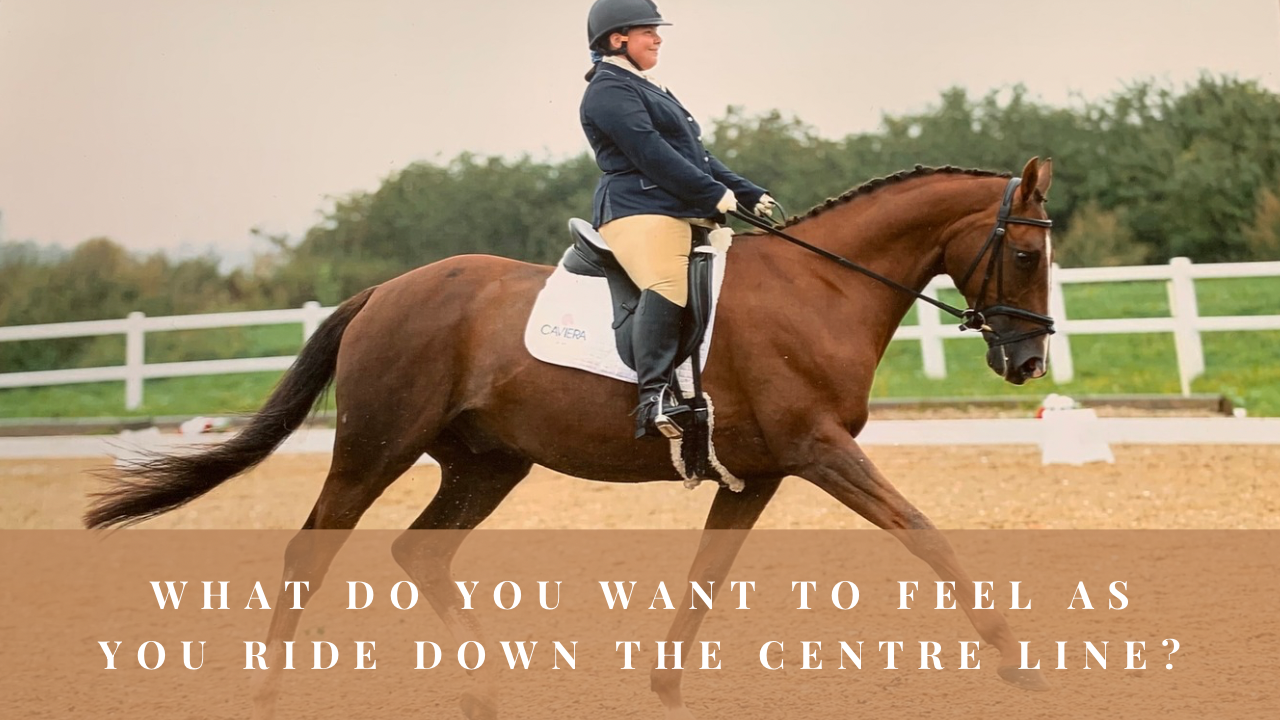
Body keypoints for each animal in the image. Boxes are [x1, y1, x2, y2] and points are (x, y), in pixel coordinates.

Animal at [86, 157, 1056, 719]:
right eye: (1025, 254)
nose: (1028, 361)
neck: (820, 290)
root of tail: (385, 292)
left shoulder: (759, 475)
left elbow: (706, 577)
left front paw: (664, 686)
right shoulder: (819, 452)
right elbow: (924, 534)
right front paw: (1018, 661)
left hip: (487, 463)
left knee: (419, 552)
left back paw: (485, 688)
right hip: (377, 446)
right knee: (311, 550)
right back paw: (267, 689)